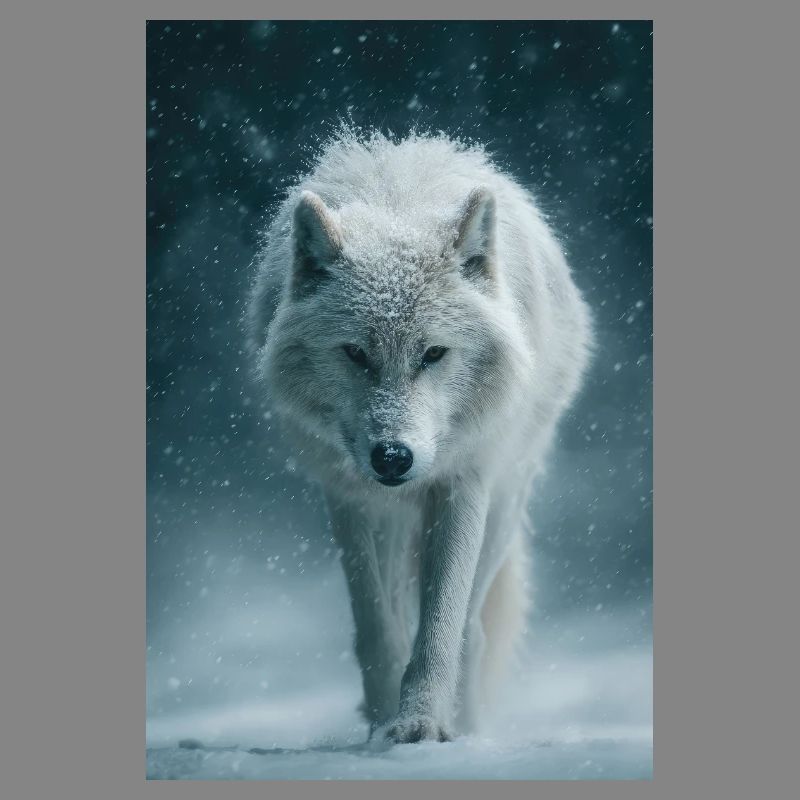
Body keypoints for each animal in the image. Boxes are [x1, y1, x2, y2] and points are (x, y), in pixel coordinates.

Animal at [247, 131, 592, 743]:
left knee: (474, 630)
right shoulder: (350, 499)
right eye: (355, 353)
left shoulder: (463, 483)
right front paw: (383, 721)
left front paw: (420, 725)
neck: (398, 206)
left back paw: (471, 727)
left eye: (433, 353)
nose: (393, 458)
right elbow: (377, 629)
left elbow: (440, 629)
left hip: (505, 504)